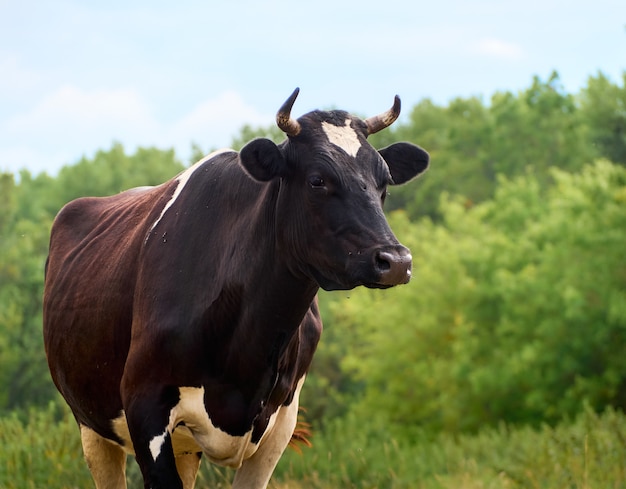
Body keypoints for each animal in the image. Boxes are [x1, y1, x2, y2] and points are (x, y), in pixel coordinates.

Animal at [41, 88, 426, 488]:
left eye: (384, 182)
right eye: (317, 180)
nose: (395, 260)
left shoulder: (280, 423)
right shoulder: (143, 403)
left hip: (184, 447)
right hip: (92, 426)